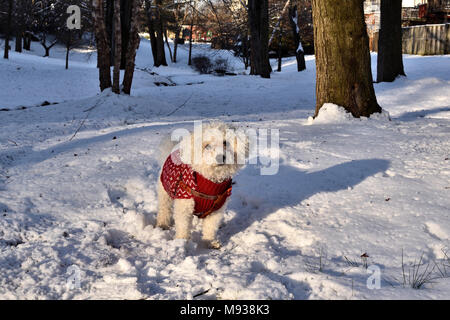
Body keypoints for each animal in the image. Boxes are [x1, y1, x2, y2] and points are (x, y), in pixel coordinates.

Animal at [156, 121, 248, 249]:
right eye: (207, 146)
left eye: (225, 143)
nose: (221, 157)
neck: (210, 181)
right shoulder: (184, 206)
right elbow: (183, 225)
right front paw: (182, 242)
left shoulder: (216, 209)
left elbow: (210, 227)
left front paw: (209, 241)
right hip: (165, 192)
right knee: (164, 208)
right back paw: (162, 224)